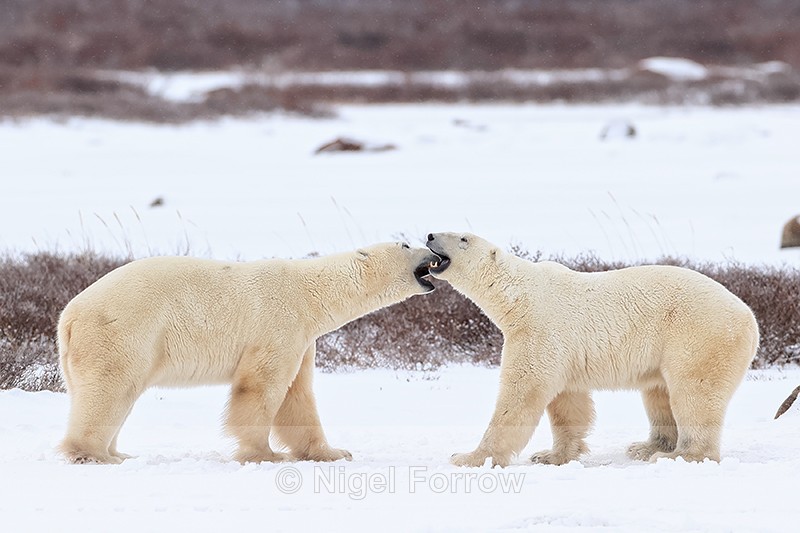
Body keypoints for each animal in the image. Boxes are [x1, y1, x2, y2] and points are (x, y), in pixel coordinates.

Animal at [58, 242, 440, 464]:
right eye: (406, 243)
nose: (434, 253)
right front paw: (264, 454)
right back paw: (95, 455)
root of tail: (69, 316)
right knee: (110, 390)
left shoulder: (303, 340)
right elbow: (261, 388)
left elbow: (298, 397)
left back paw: (119, 452)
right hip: (124, 331)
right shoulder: (278, 323)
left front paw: (333, 452)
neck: (310, 292)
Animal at [425, 232, 759, 467]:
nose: (429, 235)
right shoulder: (563, 351)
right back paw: (646, 446)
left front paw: (468, 457)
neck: (519, 297)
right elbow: (568, 403)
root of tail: (750, 318)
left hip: (698, 336)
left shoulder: (539, 330)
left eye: (463, 238)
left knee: (694, 394)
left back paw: (681, 455)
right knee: (658, 393)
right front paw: (552, 455)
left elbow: (520, 394)